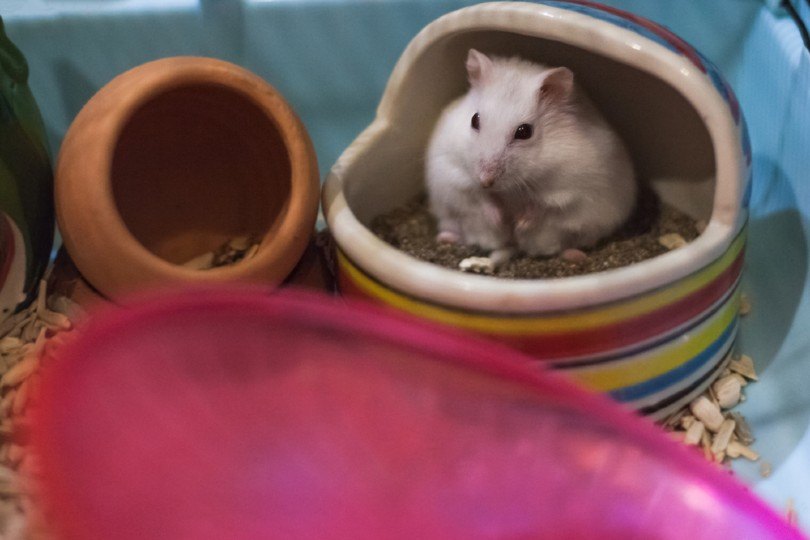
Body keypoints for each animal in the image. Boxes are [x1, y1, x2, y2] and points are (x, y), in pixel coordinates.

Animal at [425, 49, 637, 262]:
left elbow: (543, 204)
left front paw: (520, 224)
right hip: (450, 216)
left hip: (590, 228)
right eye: (474, 120)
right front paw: (500, 220)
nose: (486, 180)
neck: (511, 188)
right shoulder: (453, 171)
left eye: (524, 132)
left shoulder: (571, 188)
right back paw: (446, 238)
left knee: (570, 244)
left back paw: (574, 255)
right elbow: (478, 196)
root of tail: (516, 246)